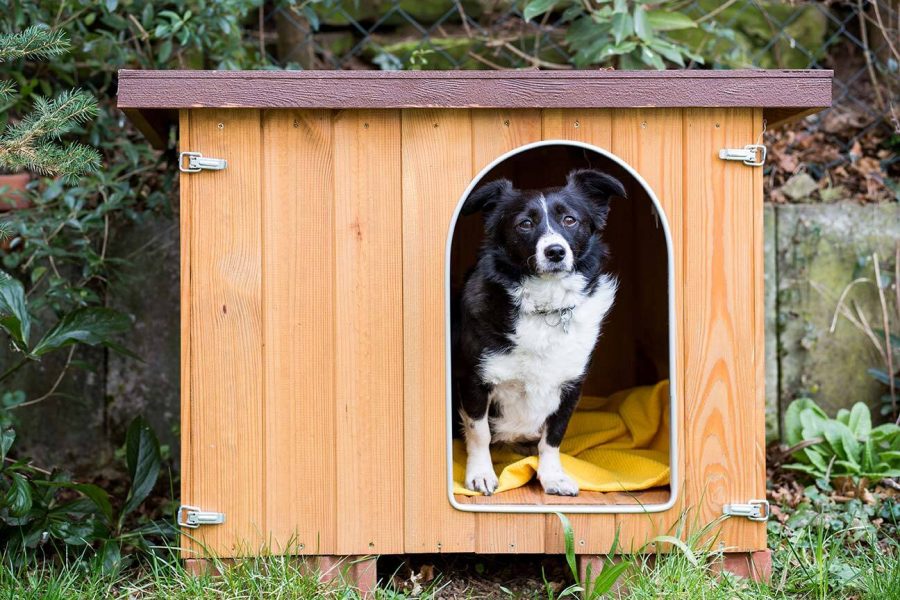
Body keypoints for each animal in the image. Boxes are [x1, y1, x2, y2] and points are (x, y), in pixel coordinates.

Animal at [454, 168, 624, 496]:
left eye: (569, 219)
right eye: (525, 224)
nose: (555, 251)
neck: (546, 306)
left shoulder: (571, 386)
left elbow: (553, 436)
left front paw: (552, 476)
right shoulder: (474, 381)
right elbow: (479, 432)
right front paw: (480, 473)